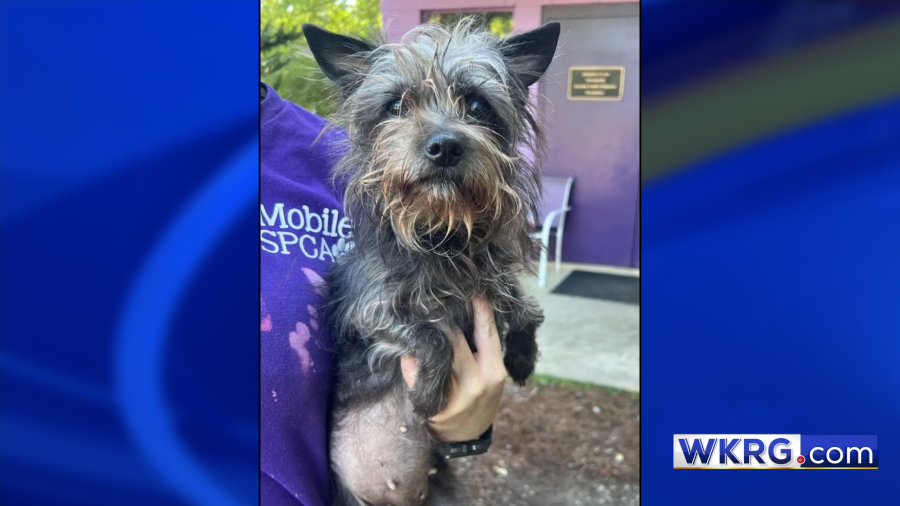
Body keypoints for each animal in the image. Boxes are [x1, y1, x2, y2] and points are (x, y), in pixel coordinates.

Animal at [304, 17, 556, 504]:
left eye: (476, 105)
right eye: (395, 105)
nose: (444, 146)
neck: (443, 235)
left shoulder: (491, 279)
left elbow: (527, 308)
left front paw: (522, 355)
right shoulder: (367, 307)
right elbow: (430, 336)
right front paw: (425, 394)